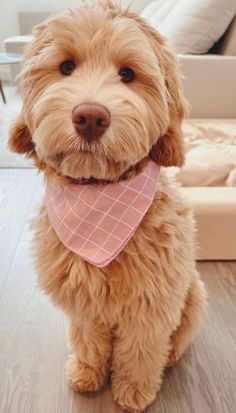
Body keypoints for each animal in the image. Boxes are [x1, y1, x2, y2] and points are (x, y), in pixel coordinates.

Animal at [8, 1, 206, 410]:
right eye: (67, 66)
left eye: (128, 73)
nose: (90, 117)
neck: (98, 203)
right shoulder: (84, 305)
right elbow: (88, 339)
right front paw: (87, 372)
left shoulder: (151, 306)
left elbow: (141, 351)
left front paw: (133, 391)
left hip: (194, 293)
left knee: (177, 339)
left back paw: (171, 358)